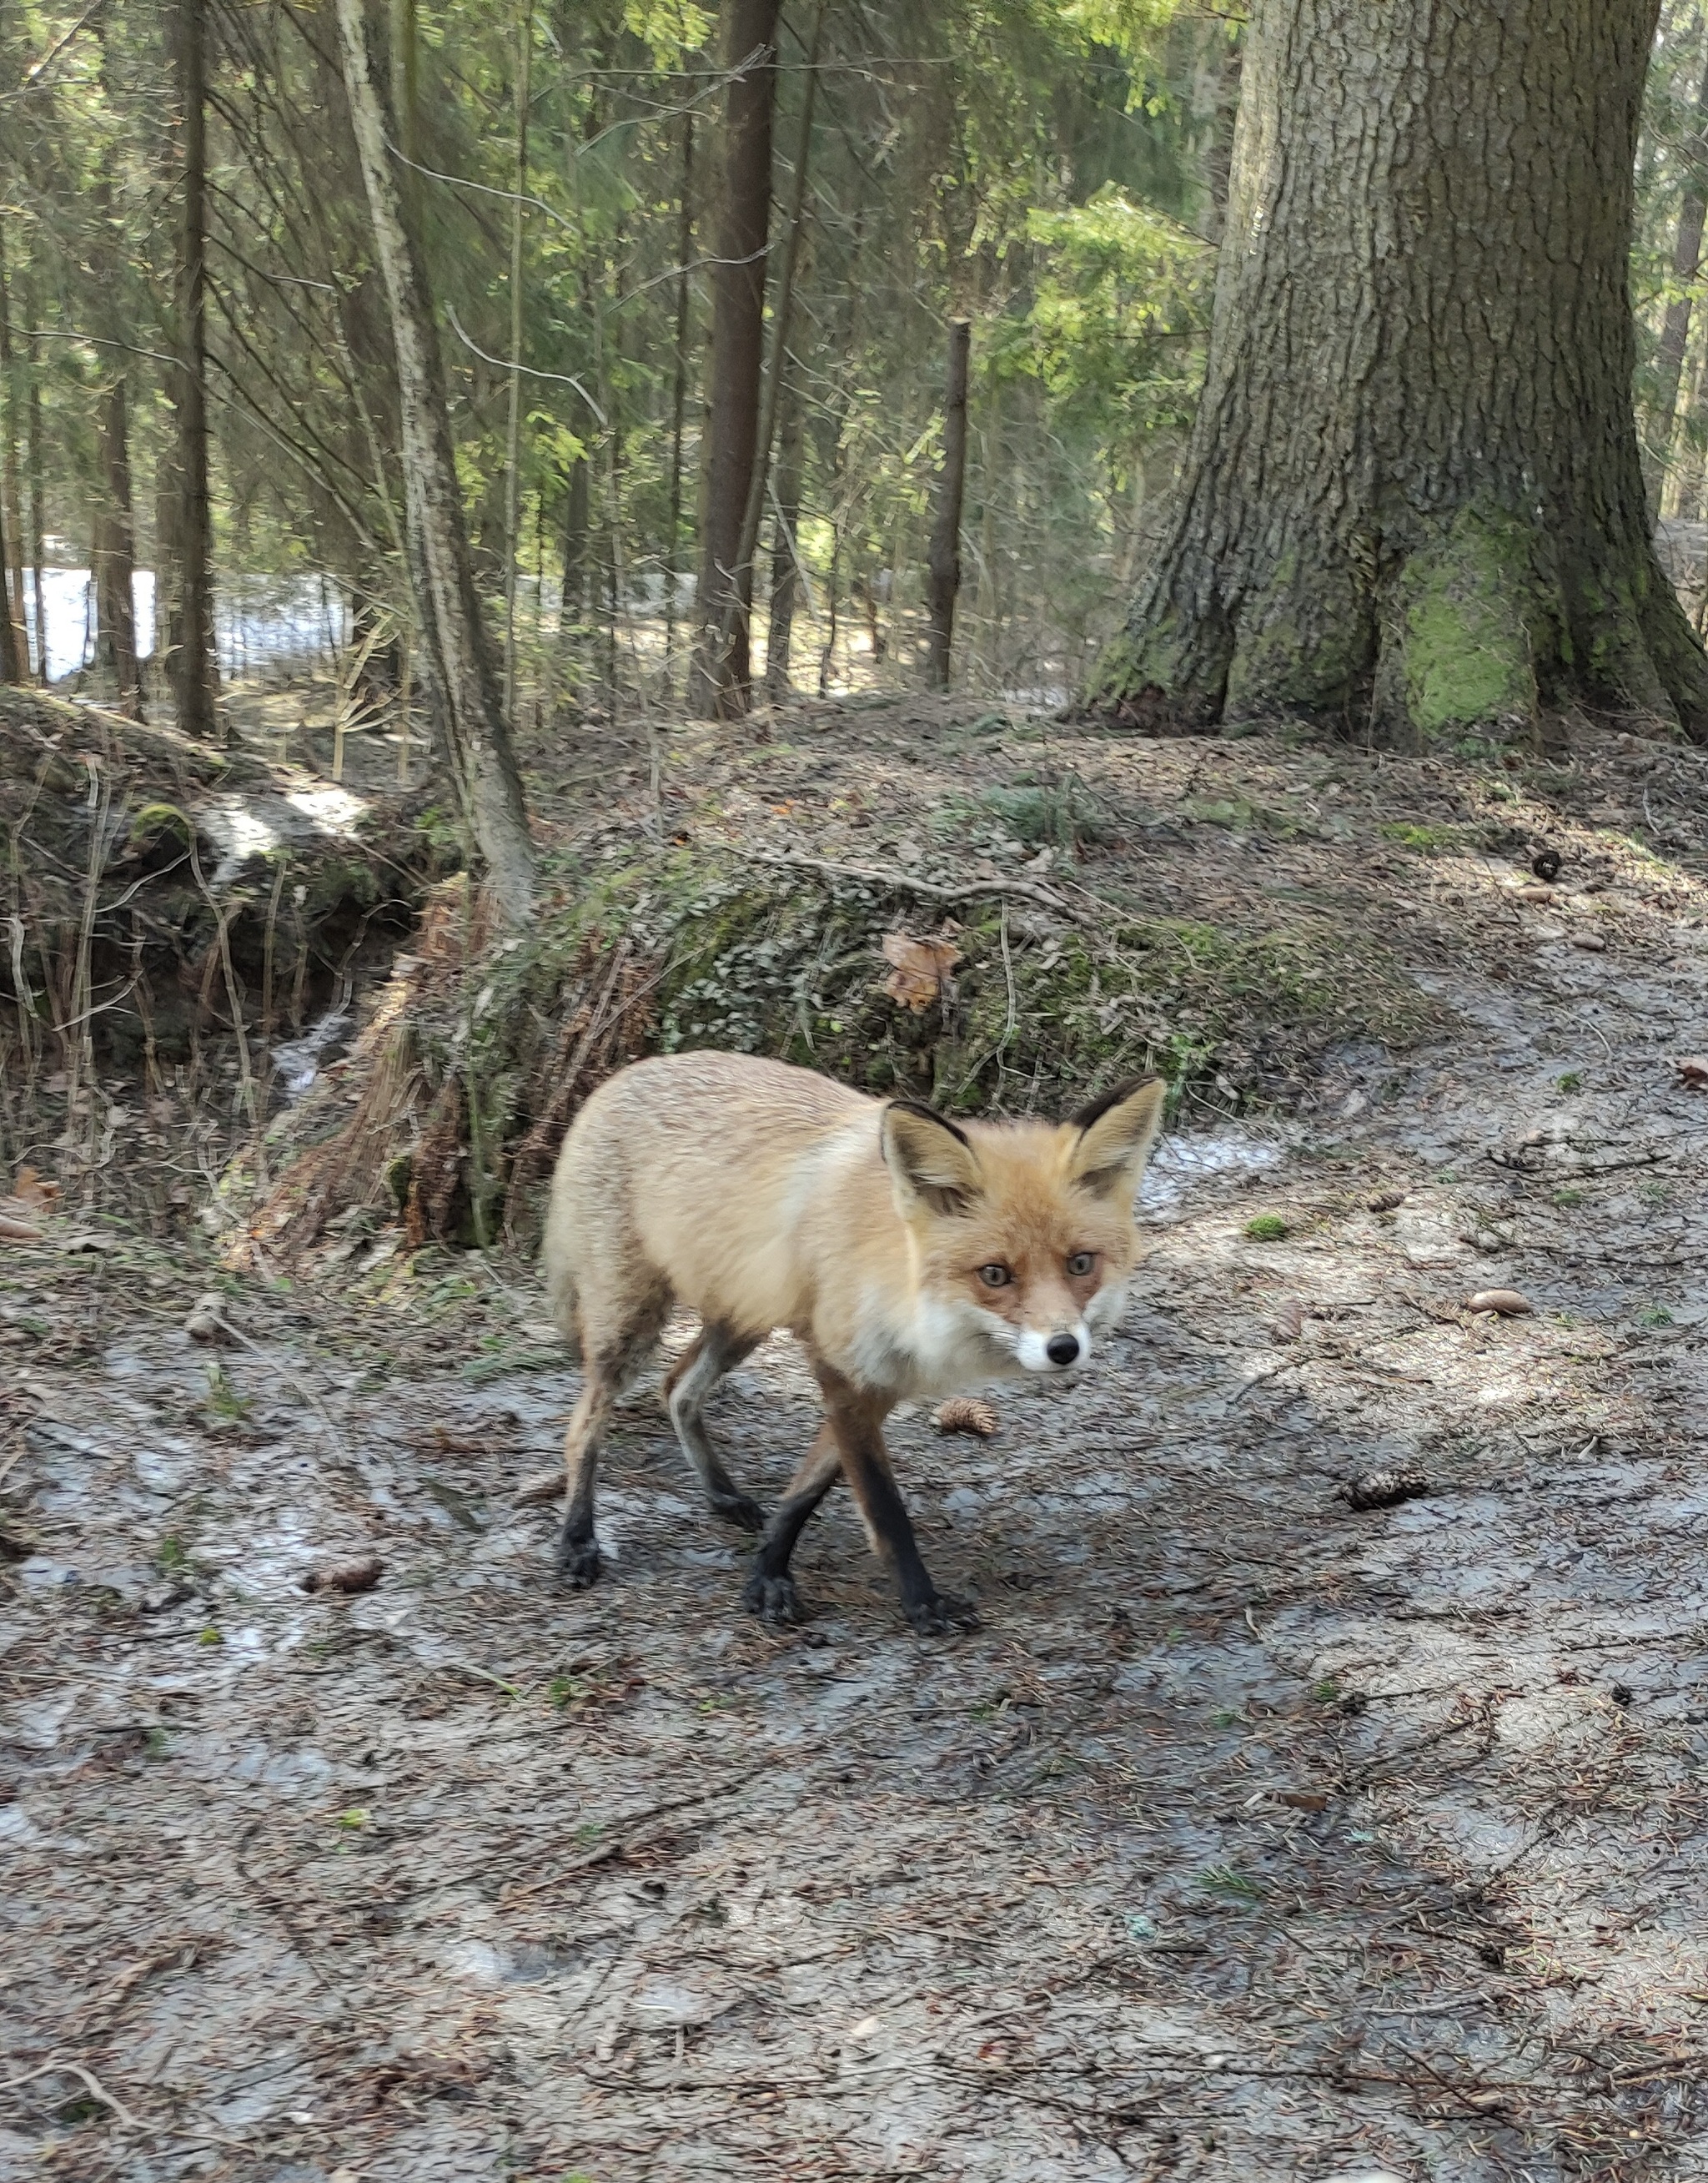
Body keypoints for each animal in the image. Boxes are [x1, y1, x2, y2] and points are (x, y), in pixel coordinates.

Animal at [540, 1048, 1168, 1632]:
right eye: (995, 1274)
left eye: (1080, 1263)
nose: (1064, 1348)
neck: (902, 1290)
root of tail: (620, 1076)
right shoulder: (842, 1371)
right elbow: (884, 1507)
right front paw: (921, 1602)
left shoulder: (880, 1383)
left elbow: (804, 1492)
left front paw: (766, 1573)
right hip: (632, 1323)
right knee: (583, 1427)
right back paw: (578, 1538)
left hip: (743, 1316)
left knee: (676, 1388)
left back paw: (721, 1495)